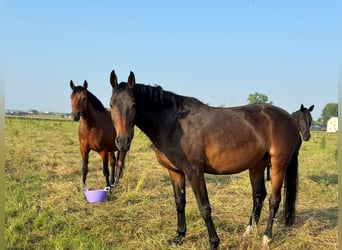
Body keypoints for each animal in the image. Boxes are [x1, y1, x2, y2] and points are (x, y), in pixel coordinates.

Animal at [108, 71, 300, 250]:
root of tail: (289, 118)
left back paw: (266, 238)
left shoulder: (194, 172)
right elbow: (180, 203)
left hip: (278, 165)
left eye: (134, 104)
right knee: (259, 196)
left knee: (274, 200)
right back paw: (248, 232)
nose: (123, 141)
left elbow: (204, 207)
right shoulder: (175, 171)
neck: (173, 124)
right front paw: (178, 237)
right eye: (111, 105)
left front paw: (213, 242)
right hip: (257, 165)